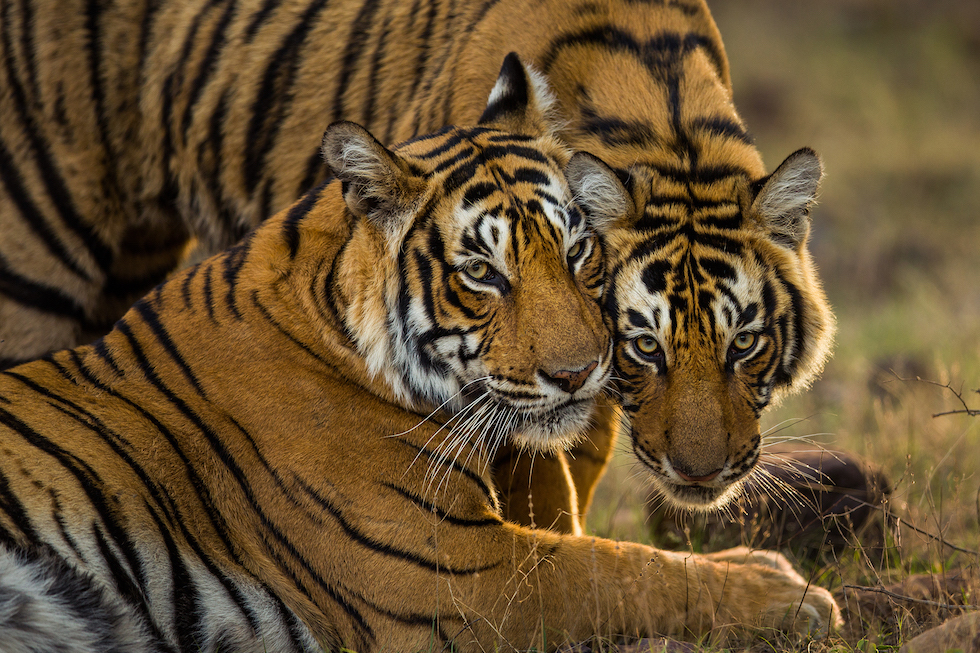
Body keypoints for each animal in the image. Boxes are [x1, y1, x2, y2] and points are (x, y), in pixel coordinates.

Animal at [0, 58, 840, 652]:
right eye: (484, 274)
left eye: (577, 251)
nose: (580, 372)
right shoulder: (462, 576)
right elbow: (621, 569)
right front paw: (785, 590)